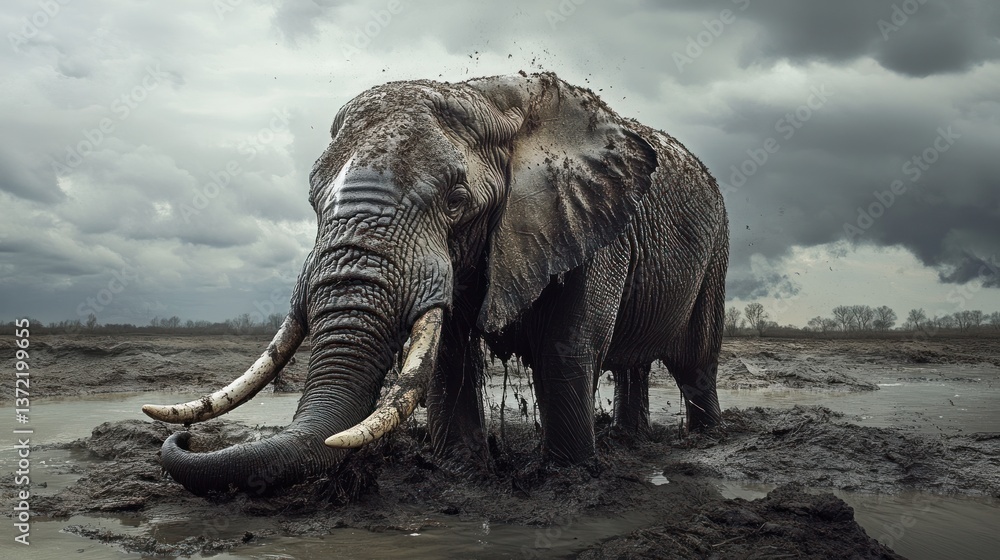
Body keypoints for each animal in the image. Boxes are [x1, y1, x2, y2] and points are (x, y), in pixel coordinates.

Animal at [142, 72, 729, 496]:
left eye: (456, 201)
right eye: (311, 201)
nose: (185, 436)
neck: (490, 98)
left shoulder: (591, 222)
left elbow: (566, 348)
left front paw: (568, 478)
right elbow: (449, 352)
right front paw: (459, 472)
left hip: (717, 251)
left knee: (693, 365)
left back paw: (704, 441)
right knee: (635, 365)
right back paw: (630, 440)